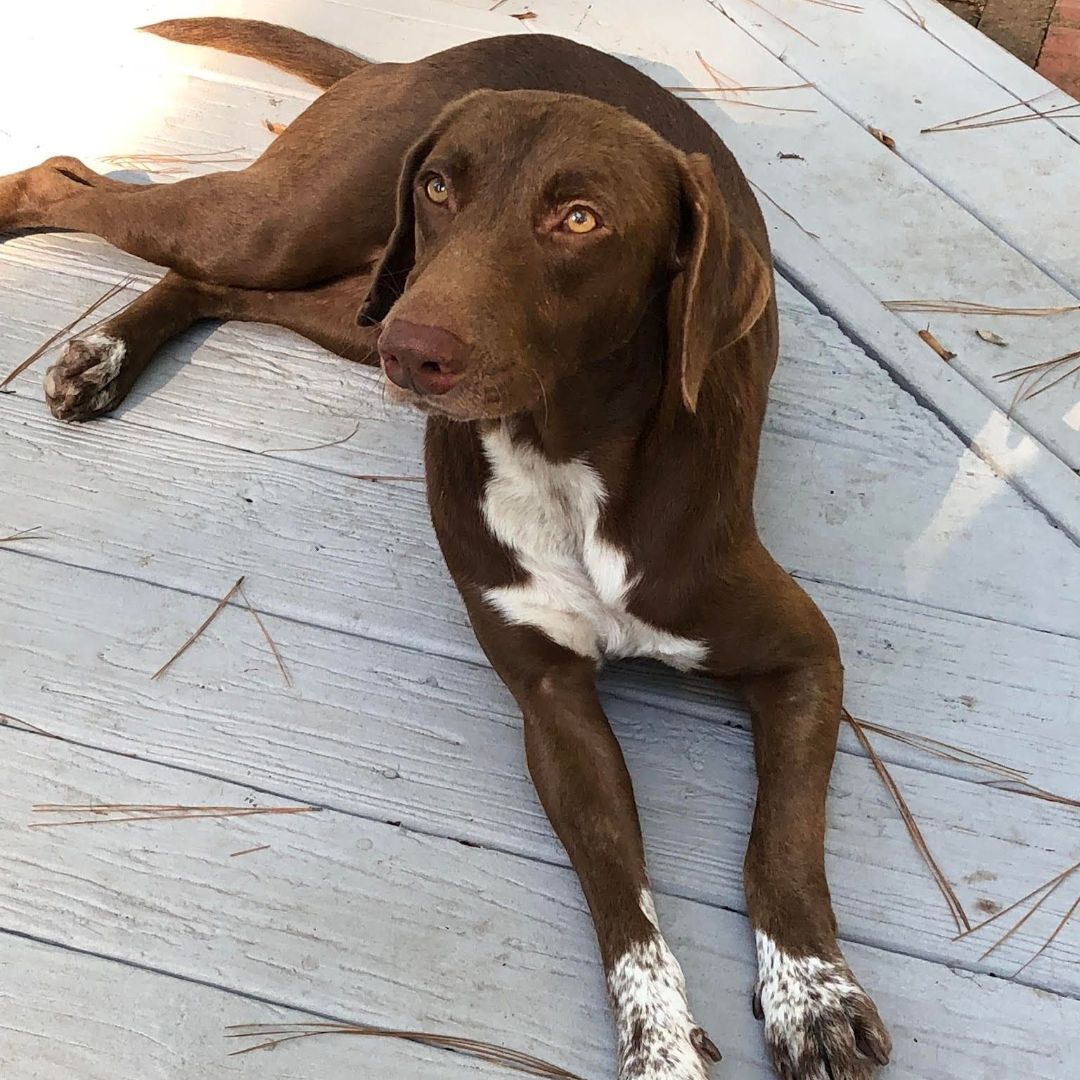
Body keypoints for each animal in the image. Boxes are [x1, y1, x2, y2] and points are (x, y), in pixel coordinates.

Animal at [0, 19, 889, 1080]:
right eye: (437, 188)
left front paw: (814, 997)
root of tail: (421, 62)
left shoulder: (803, 657)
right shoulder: (551, 703)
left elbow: (783, 844)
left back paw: (108, 354)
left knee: (223, 283)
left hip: (356, 301)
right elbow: (622, 896)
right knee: (75, 185)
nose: (417, 352)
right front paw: (661, 1044)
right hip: (319, 246)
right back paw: (91, 330)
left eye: (581, 219)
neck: (560, 458)